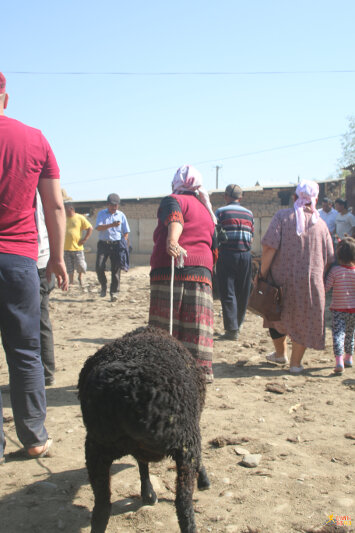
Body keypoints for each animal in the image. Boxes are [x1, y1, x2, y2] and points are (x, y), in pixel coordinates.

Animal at [78, 324, 210, 532]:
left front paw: (147, 493)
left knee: (101, 508)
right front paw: (203, 479)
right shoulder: (190, 443)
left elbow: (142, 463)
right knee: (183, 505)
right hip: (185, 443)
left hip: (96, 448)